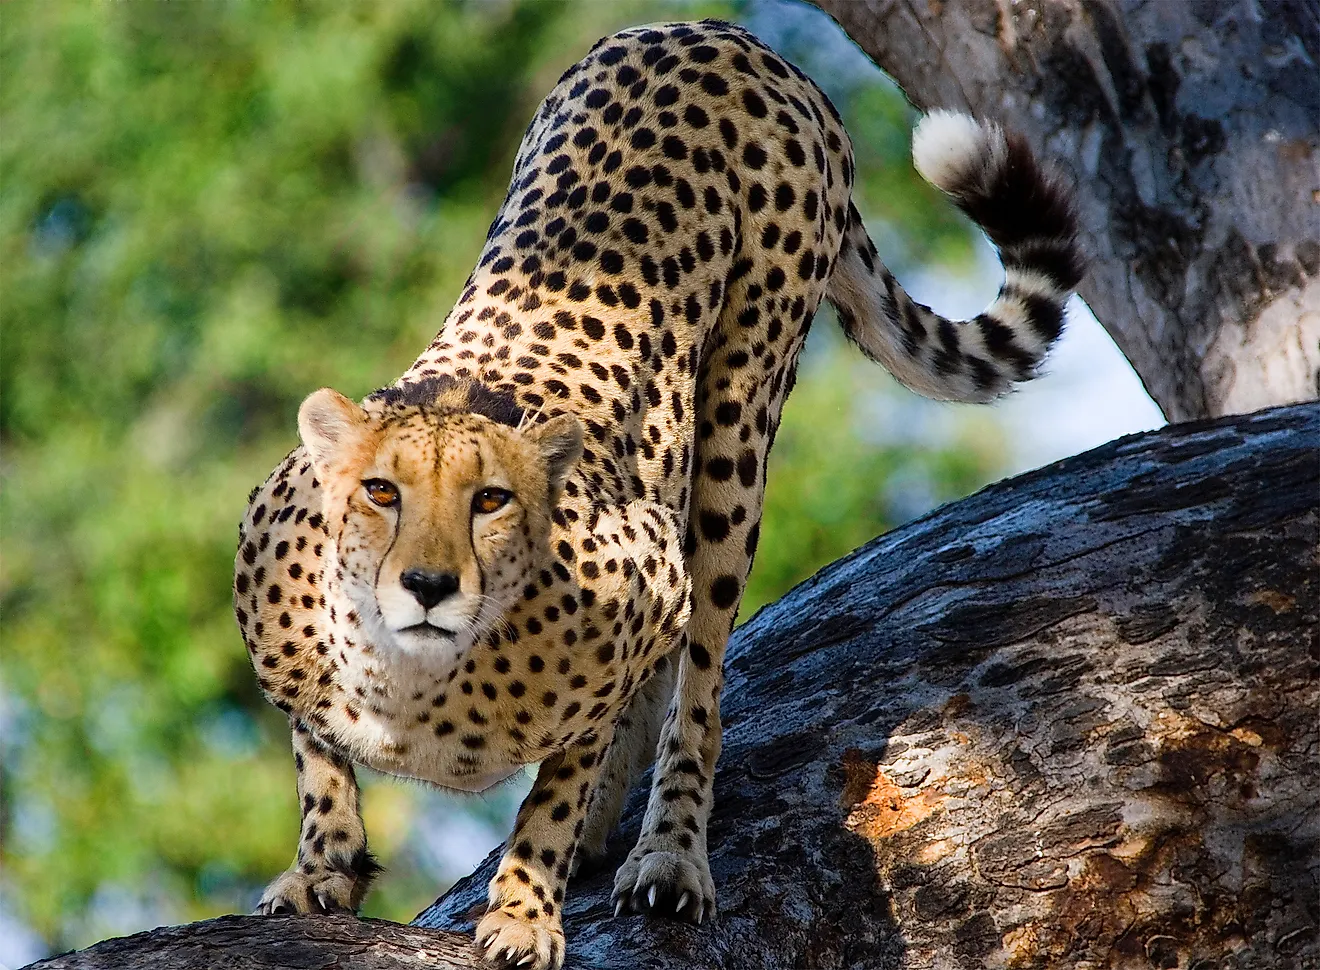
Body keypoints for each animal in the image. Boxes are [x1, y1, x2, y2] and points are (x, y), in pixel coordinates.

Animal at [237, 17, 1082, 970]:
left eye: (490, 502)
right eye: (381, 492)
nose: (426, 585)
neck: (413, 674)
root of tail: (717, 31)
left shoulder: (647, 576)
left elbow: (564, 778)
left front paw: (525, 909)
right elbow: (320, 760)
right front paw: (322, 868)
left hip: (737, 428)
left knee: (700, 684)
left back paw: (668, 853)